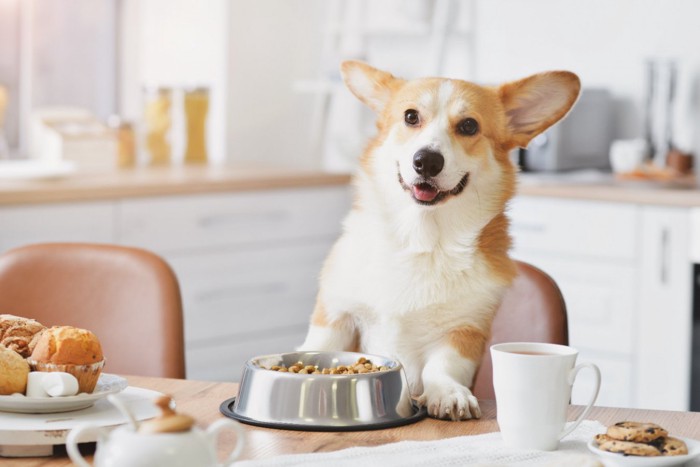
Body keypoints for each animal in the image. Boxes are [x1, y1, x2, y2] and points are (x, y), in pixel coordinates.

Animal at [300, 61, 580, 420]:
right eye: (410, 117)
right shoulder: (336, 315)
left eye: (469, 125)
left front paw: (448, 393)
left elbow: (443, 366)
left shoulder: (465, 331)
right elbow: (318, 348)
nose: (427, 161)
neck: (421, 239)